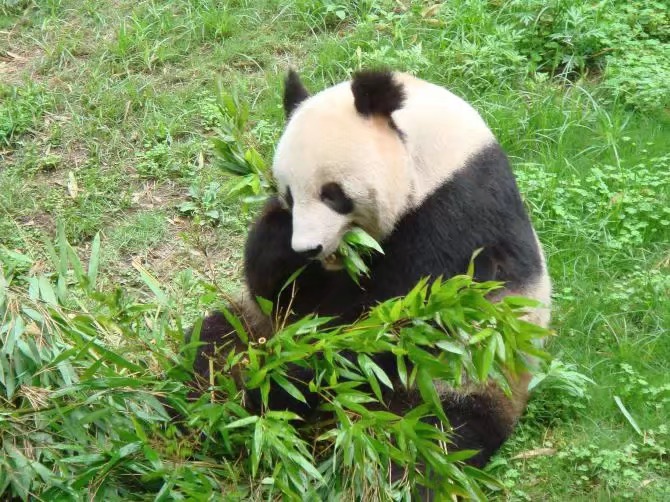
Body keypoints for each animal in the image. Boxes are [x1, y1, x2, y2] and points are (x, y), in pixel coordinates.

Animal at [188, 68, 552, 472]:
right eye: (289, 195)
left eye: (333, 194)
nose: (309, 248)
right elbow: (280, 294)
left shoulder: (456, 218)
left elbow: (386, 320)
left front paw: (286, 384)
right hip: (251, 329)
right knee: (208, 349)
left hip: (460, 380)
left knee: (431, 443)